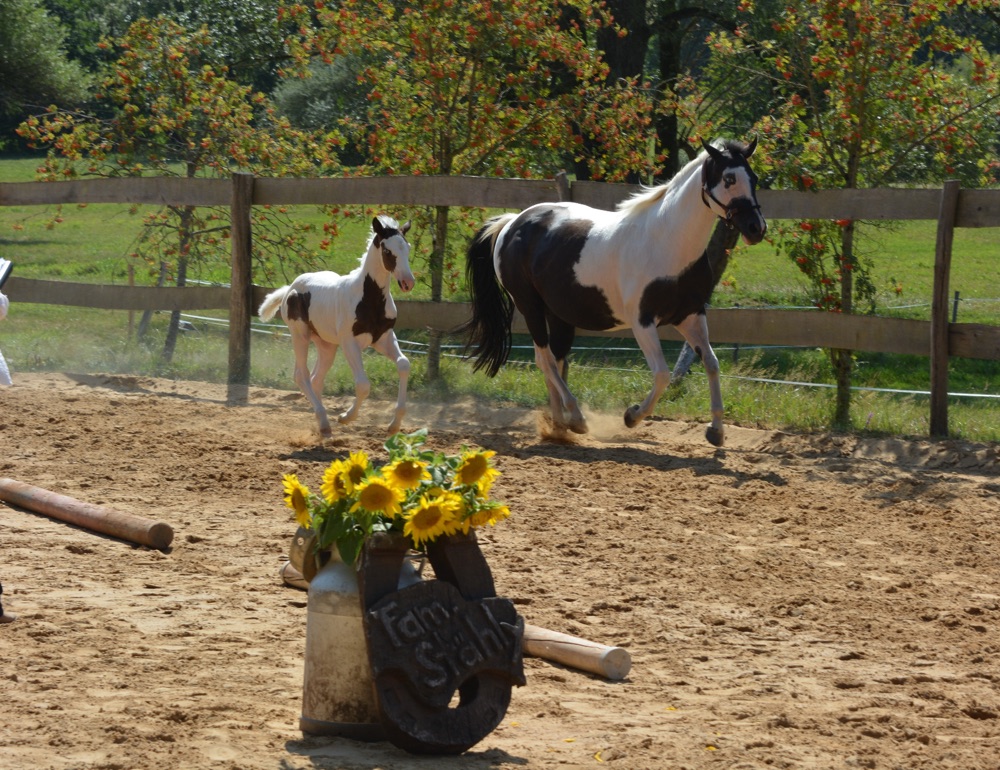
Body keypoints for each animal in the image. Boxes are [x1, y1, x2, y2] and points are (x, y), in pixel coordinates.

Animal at [259, 215, 414, 437]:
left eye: (407, 248)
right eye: (387, 251)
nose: (408, 282)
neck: (368, 298)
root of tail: (291, 287)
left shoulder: (383, 338)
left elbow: (403, 364)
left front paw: (394, 425)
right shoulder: (349, 342)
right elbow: (363, 384)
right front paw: (345, 417)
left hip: (326, 345)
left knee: (316, 378)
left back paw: (322, 420)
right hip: (300, 335)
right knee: (301, 375)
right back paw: (324, 422)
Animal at [459, 138, 766, 447]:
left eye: (753, 178)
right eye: (729, 179)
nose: (757, 228)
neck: (666, 243)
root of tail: (511, 223)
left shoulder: (690, 315)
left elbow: (712, 363)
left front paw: (716, 431)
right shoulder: (642, 322)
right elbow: (662, 374)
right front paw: (631, 416)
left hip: (558, 315)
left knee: (553, 361)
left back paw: (559, 426)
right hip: (529, 306)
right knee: (544, 360)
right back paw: (576, 418)